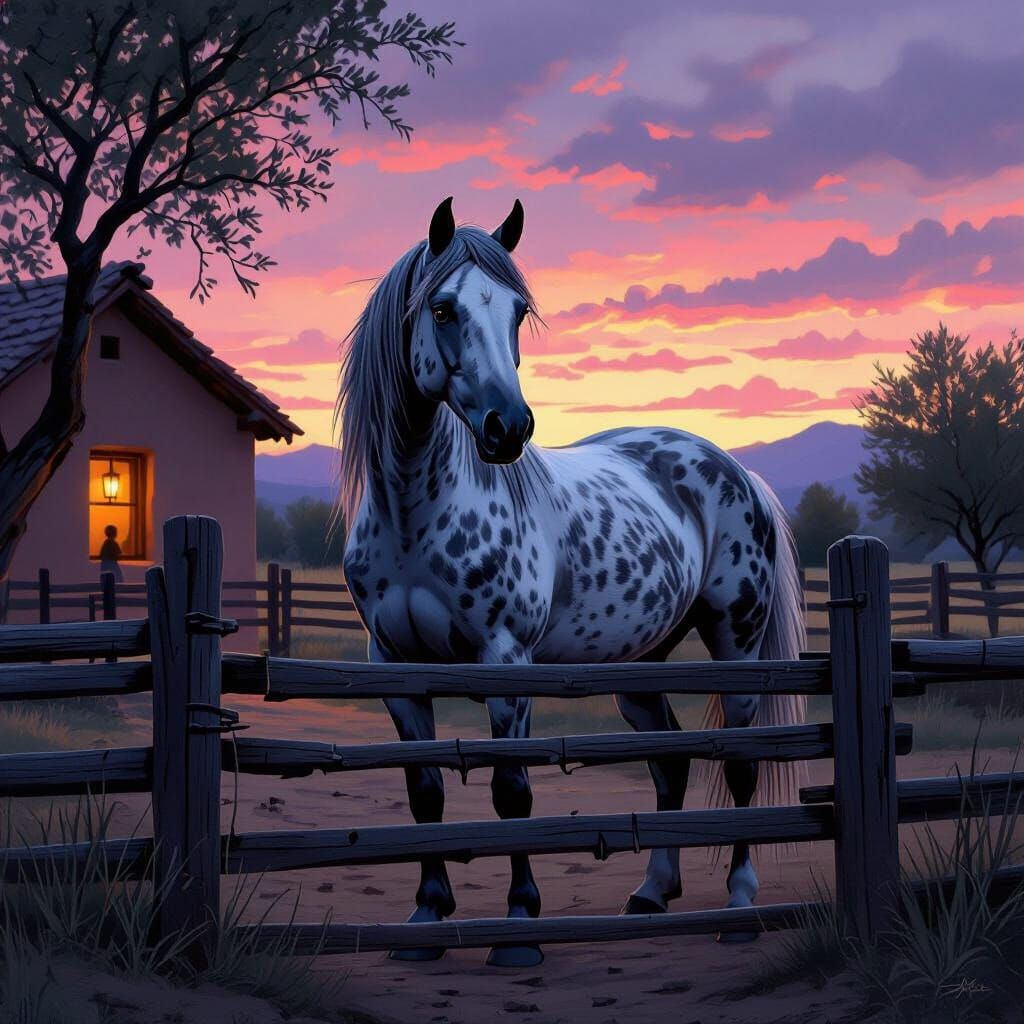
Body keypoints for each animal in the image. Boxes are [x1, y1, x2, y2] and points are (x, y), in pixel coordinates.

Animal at [337, 197, 807, 968]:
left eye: (518, 312)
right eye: (442, 307)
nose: (509, 426)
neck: (416, 515)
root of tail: (736, 469)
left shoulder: (507, 662)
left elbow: (512, 792)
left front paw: (520, 930)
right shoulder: (397, 669)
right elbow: (425, 792)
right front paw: (426, 920)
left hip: (736, 647)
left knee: (739, 766)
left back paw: (739, 906)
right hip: (637, 665)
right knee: (670, 764)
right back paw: (650, 894)